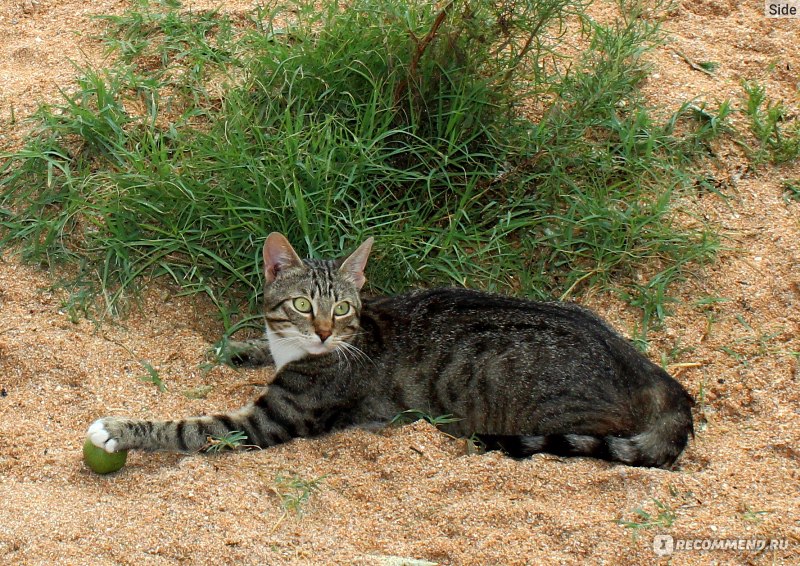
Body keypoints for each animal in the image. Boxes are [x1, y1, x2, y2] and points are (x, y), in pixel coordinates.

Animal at [89, 233, 692, 468]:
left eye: (342, 308)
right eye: (302, 304)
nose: (324, 333)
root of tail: (648, 368)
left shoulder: (268, 420)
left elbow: (187, 429)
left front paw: (119, 429)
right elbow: (260, 343)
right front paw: (238, 346)